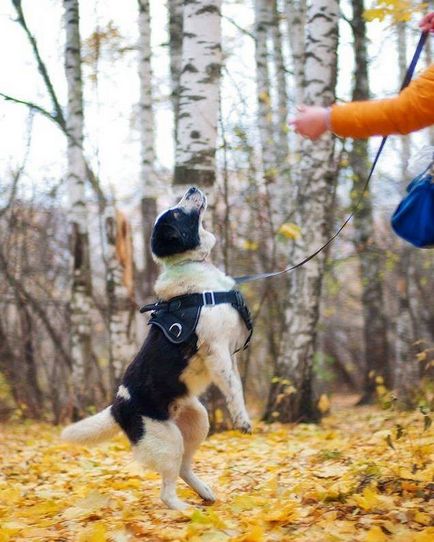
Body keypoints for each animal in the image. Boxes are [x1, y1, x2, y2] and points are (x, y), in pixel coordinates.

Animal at [59, 187, 253, 510]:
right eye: (177, 212)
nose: (191, 188)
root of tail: (117, 407)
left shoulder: (229, 355)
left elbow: (235, 384)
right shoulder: (217, 350)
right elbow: (234, 388)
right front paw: (243, 420)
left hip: (197, 421)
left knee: (185, 467)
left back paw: (203, 492)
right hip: (169, 441)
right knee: (166, 490)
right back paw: (184, 511)